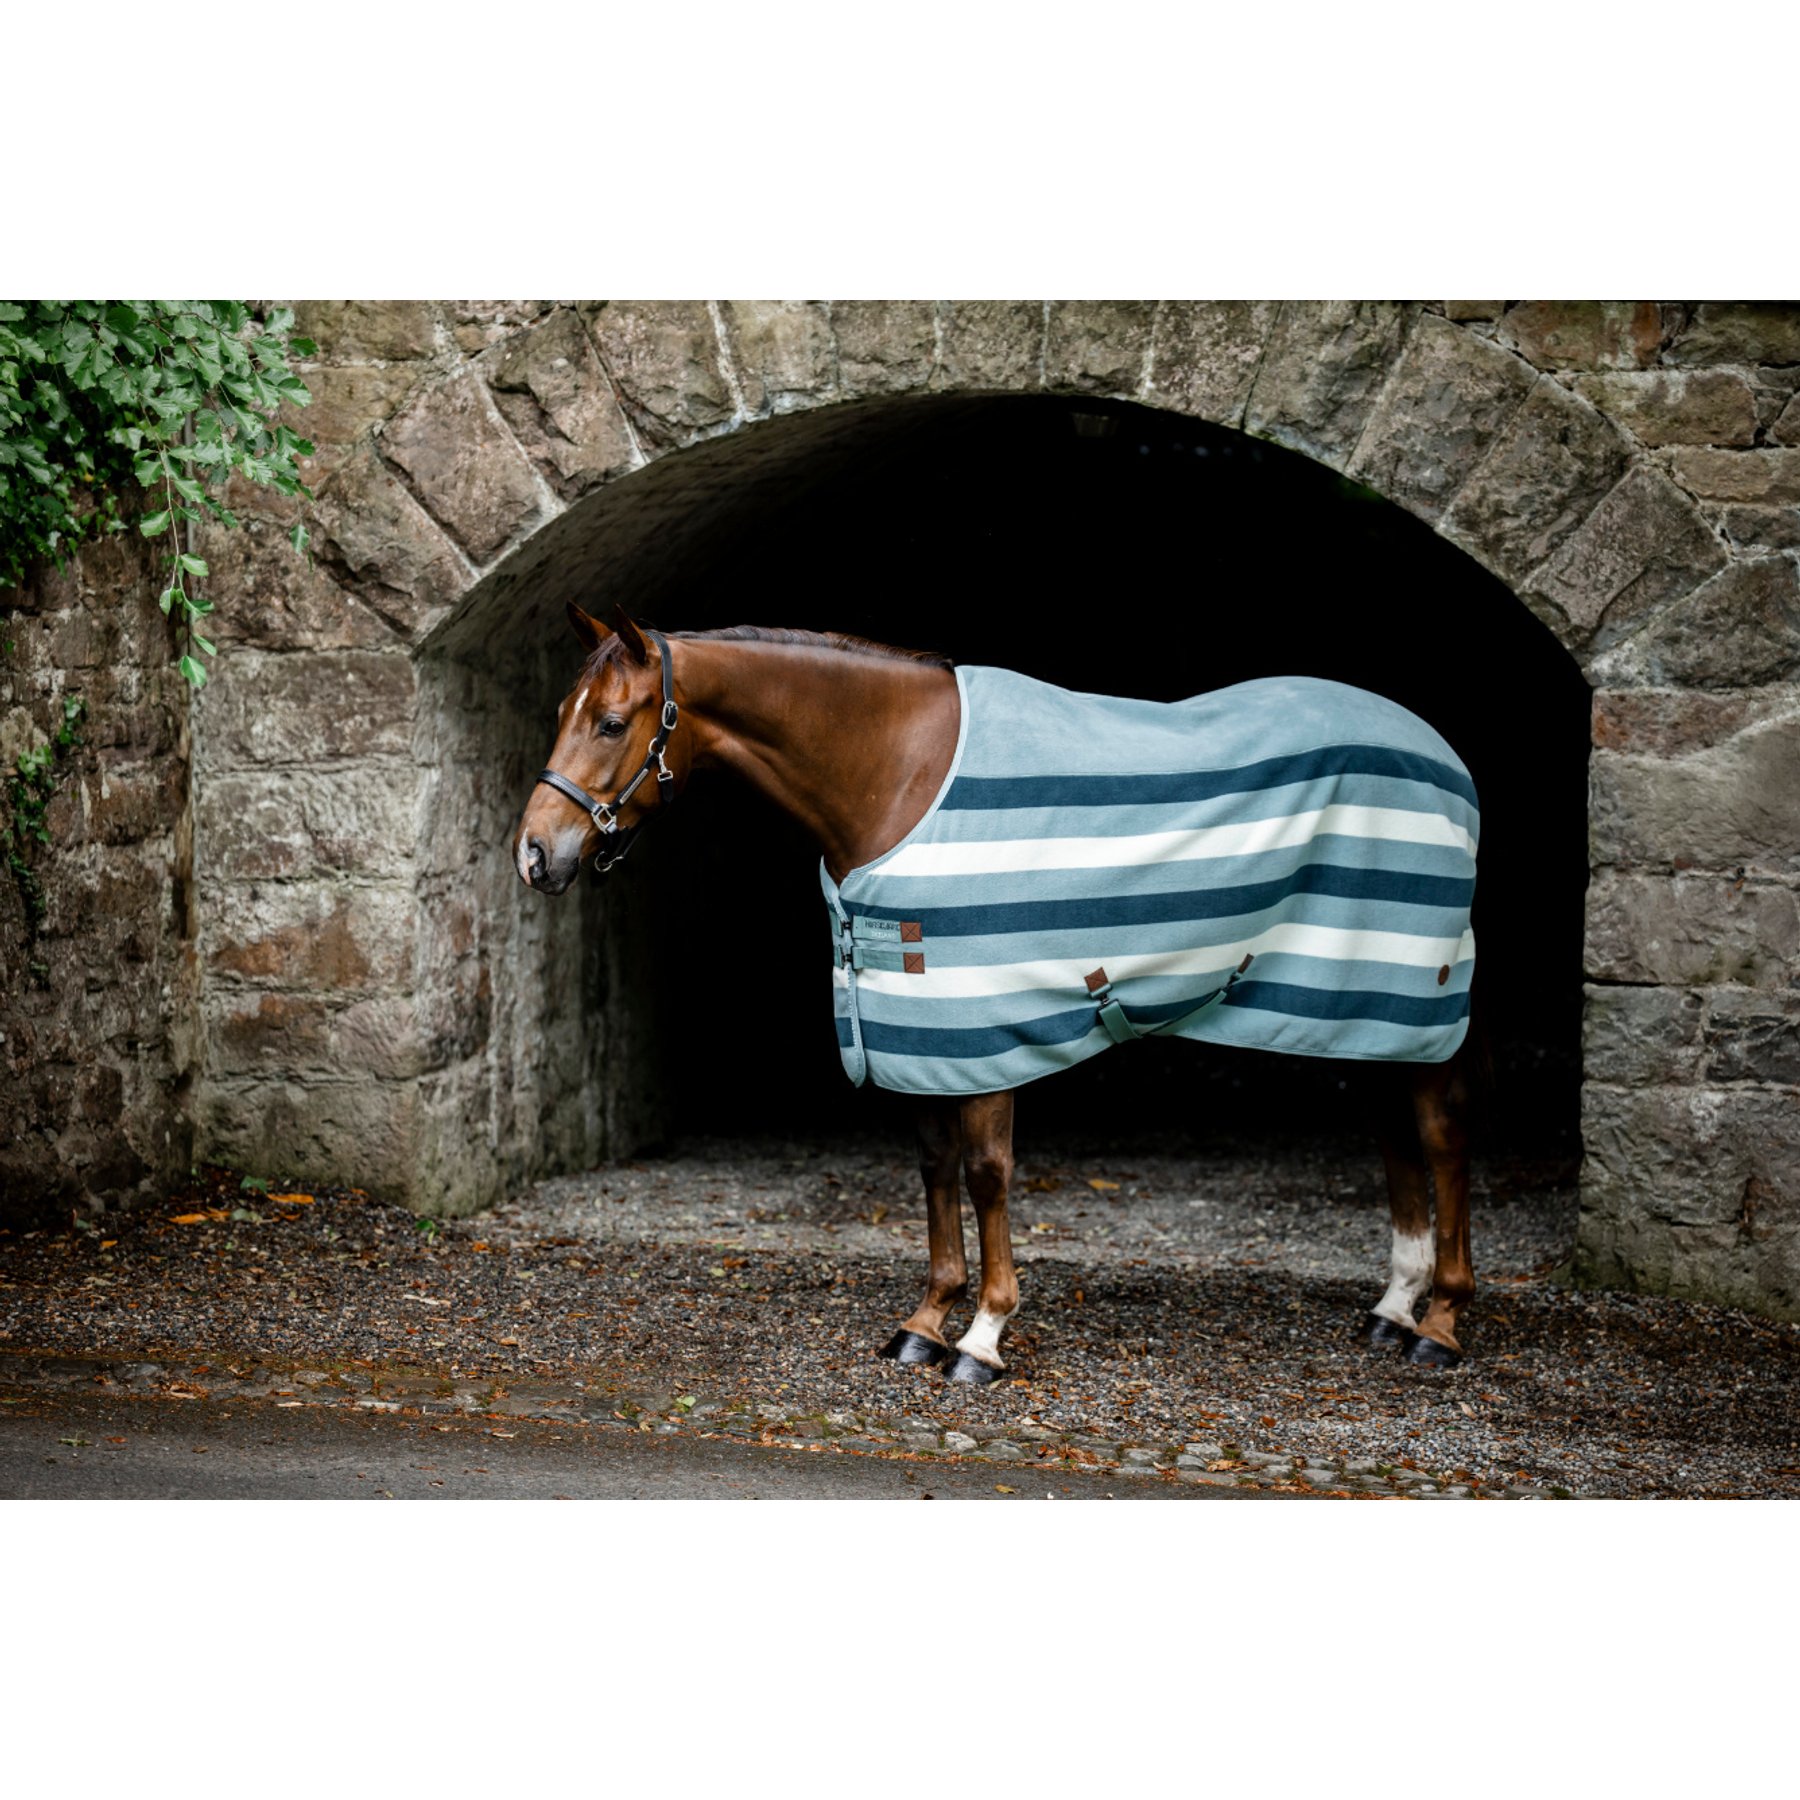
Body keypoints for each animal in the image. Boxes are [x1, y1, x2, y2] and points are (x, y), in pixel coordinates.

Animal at [515, 603, 1479, 1383]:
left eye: (611, 723)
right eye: (562, 713)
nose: (535, 854)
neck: (895, 769)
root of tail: (1443, 754)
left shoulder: (985, 1031)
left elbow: (985, 1176)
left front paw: (982, 1337)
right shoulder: (918, 1032)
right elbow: (935, 1169)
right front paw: (926, 1321)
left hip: (1422, 1007)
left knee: (1439, 1141)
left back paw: (1440, 1321)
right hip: (1356, 1010)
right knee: (1394, 1135)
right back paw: (1392, 1308)